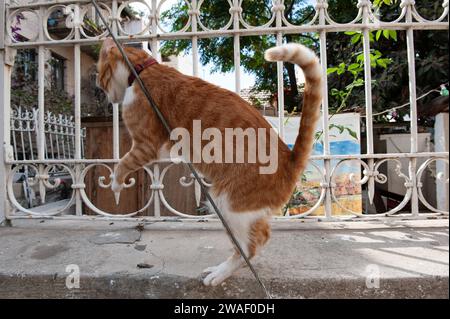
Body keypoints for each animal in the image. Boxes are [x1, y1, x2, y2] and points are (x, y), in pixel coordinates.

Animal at [98, 38, 324, 286]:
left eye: (99, 76)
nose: (103, 93)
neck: (142, 70)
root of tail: (289, 159)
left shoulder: (146, 145)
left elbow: (122, 164)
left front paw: (116, 186)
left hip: (229, 204)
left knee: (254, 244)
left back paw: (221, 272)